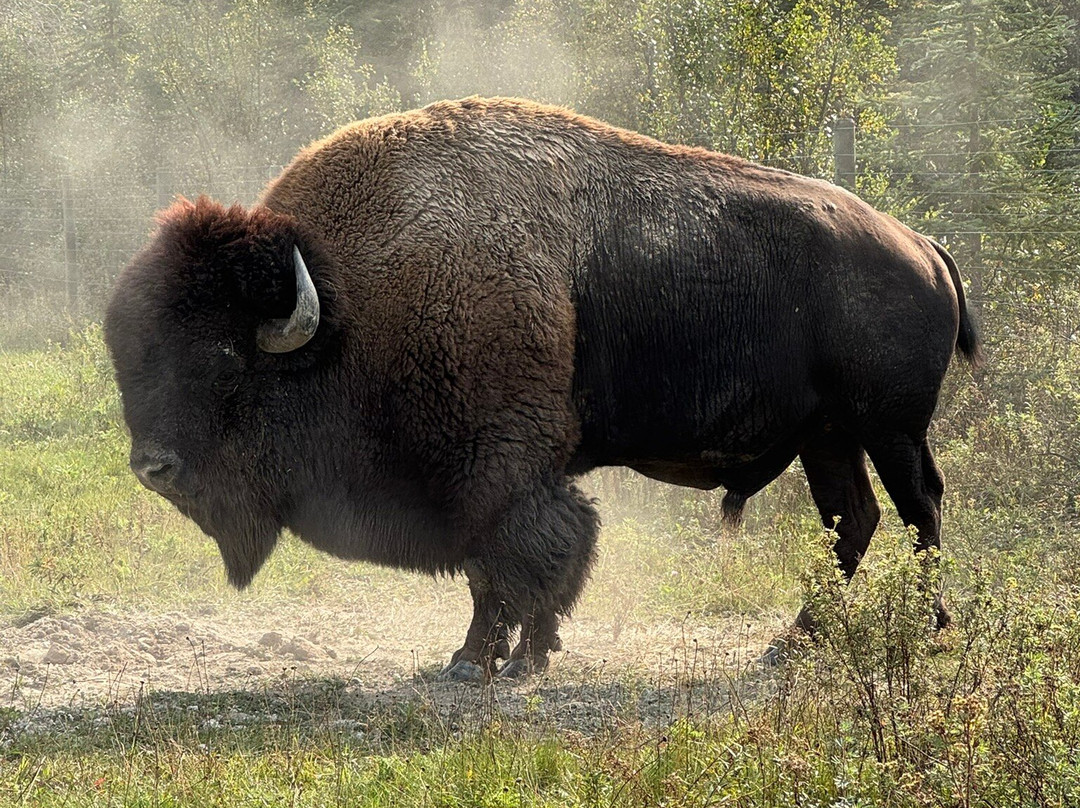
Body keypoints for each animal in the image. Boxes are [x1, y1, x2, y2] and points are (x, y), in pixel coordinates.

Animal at [105, 97, 980, 681]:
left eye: (225, 358)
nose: (152, 466)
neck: (344, 303)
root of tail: (922, 245)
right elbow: (504, 570)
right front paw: (507, 654)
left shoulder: (498, 474)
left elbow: (520, 563)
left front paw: (493, 661)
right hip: (827, 437)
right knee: (854, 521)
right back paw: (791, 642)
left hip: (890, 430)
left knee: (918, 510)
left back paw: (929, 630)